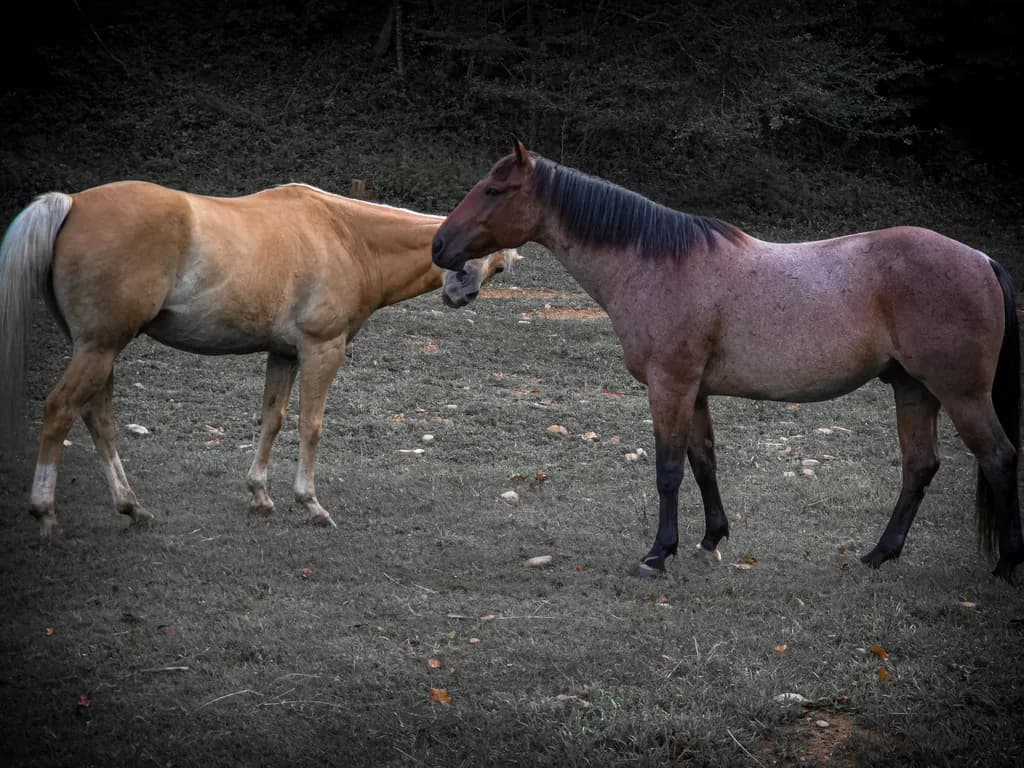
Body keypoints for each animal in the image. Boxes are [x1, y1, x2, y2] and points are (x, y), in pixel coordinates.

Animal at [0, 180, 520, 537]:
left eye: (498, 266)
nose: (462, 292)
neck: (347, 236)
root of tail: (72, 203)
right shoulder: (322, 349)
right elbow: (311, 424)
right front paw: (310, 503)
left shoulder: (283, 354)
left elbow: (273, 419)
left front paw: (260, 495)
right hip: (100, 348)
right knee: (60, 411)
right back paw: (46, 514)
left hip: (99, 351)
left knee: (98, 419)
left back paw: (132, 507)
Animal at [433, 139, 1023, 582]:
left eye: (494, 190)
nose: (439, 248)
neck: (655, 265)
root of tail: (981, 259)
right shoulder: (693, 391)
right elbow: (703, 463)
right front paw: (710, 538)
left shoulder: (668, 384)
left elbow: (669, 470)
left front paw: (657, 555)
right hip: (913, 388)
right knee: (919, 466)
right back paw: (879, 554)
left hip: (961, 393)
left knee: (998, 457)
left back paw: (1006, 567)